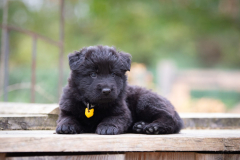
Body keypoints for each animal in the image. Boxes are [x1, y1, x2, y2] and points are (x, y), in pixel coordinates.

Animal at [56, 45, 184, 134]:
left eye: (113, 74)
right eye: (93, 74)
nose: (106, 90)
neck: (93, 105)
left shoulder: (122, 111)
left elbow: (113, 118)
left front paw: (107, 127)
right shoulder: (67, 108)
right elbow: (67, 118)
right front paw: (66, 126)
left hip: (146, 101)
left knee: (169, 118)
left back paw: (153, 127)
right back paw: (140, 126)